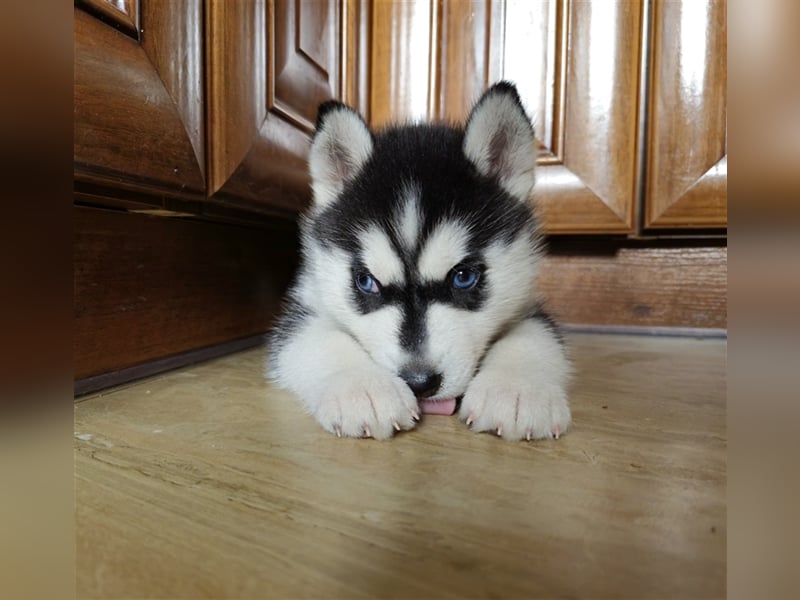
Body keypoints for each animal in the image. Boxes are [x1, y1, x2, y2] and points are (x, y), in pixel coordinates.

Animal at [268, 81, 568, 440]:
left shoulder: (526, 304)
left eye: (463, 277)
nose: (419, 382)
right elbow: (318, 337)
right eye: (366, 282)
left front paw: (516, 389)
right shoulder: (307, 303)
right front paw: (364, 389)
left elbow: (532, 333)